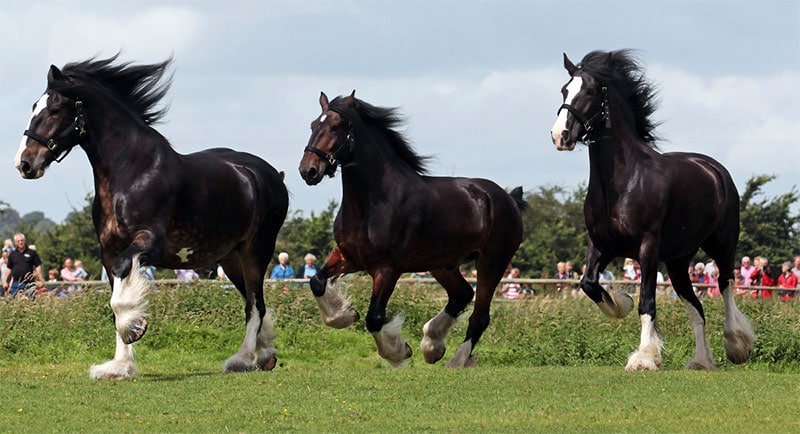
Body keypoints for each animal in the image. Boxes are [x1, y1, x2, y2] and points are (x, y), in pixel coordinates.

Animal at [15, 57, 290, 380]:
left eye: (55, 109)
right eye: (35, 106)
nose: (24, 163)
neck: (133, 172)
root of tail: (272, 175)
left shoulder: (149, 245)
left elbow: (120, 300)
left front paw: (135, 328)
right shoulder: (108, 252)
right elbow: (113, 303)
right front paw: (119, 366)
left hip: (256, 251)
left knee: (254, 305)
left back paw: (243, 359)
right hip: (231, 258)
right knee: (252, 299)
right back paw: (265, 354)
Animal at [298, 91, 524, 366]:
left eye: (335, 126)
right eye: (312, 126)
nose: (308, 170)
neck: (374, 202)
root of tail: (509, 199)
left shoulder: (387, 269)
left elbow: (374, 318)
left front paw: (399, 351)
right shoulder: (347, 256)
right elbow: (317, 282)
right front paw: (346, 314)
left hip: (492, 263)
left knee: (479, 316)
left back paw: (456, 361)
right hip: (443, 264)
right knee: (461, 295)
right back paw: (432, 345)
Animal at [548, 50, 752, 370]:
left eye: (590, 91)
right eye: (564, 90)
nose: (560, 136)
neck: (622, 182)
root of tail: (715, 169)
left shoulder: (648, 249)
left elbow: (647, 303)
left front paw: (645, 357)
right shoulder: (601, 245)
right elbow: (589, 284)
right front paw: (620, 301)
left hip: (722, 243)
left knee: (726, 283)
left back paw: (737, 345)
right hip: (679, 262)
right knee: (696, 308)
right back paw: (701, 361)